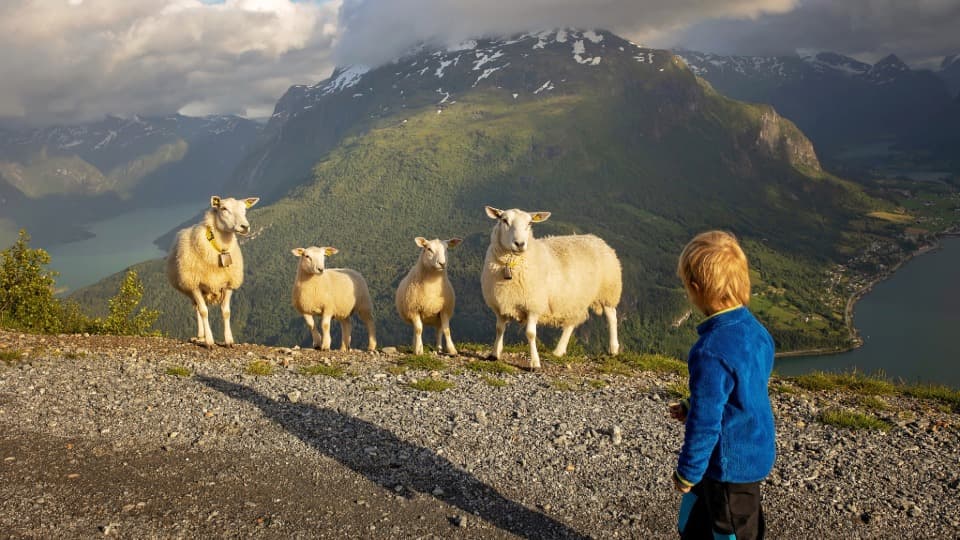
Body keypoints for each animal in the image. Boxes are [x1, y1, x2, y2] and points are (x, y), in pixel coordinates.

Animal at [166, 196, 259, 347]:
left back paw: (201, 336)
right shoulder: (195, 284)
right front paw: (209, 341)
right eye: (224, 208)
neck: (219, 249)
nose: (245, 227)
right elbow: (204, 312)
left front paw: (228, 341)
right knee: (199, 309)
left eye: (244, 209)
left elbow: (226, 312)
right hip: (190, 287)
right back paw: (202, 336)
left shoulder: (229, 284)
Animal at [480, 206, 622, 369]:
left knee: (612, 317)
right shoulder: (500, 304)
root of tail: (597, 239)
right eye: (504, 220)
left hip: (608, 291)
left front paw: (535, 363)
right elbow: (499, 329)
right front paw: (494, 354)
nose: (520, 244)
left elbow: (530, 334)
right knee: (571, 323)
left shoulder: (534, 304)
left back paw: (613, 349)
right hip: (575, 299)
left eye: (530, 223)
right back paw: (559, 351)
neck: (511, 265)